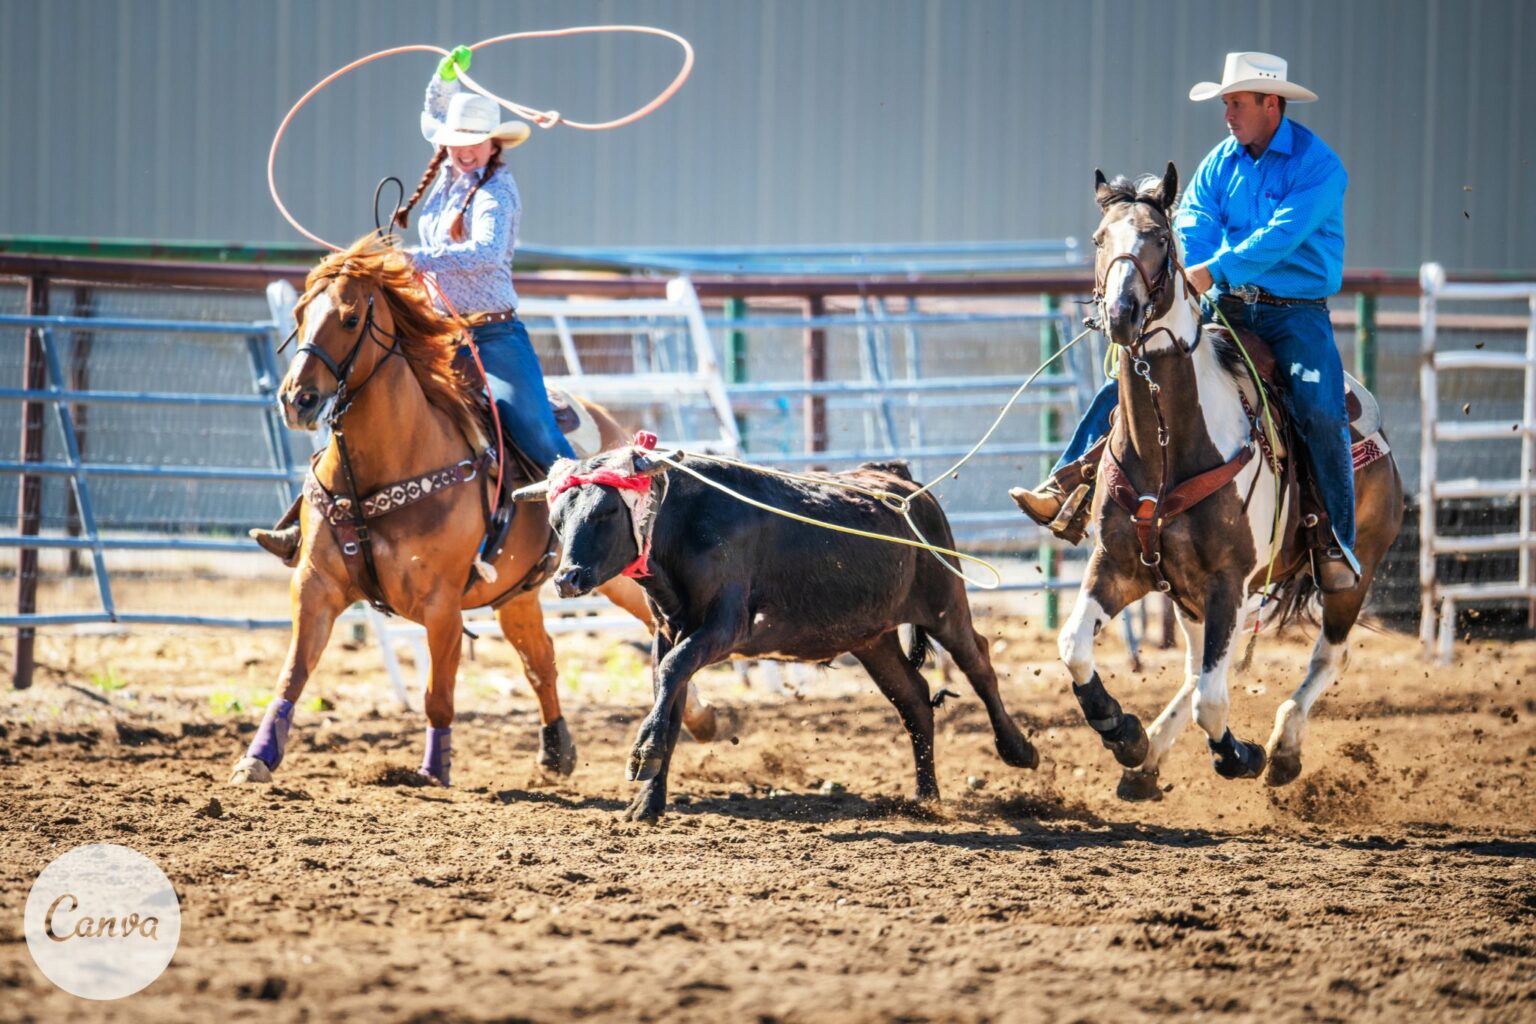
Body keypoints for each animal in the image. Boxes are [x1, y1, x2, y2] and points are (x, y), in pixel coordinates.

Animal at [224, 236, 715, 792]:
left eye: (349, 319)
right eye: (300, 313)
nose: (297, 399)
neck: (384, 468)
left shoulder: (441, 606)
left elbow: (438, 694)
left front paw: (432, 770)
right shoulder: (315, 585)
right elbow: (292, 674)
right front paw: (257, 759)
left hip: (613, 576)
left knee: (647, 629)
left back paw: (702, 717)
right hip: (517, 593)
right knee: (541, 658)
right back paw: (556, 749)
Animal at [1056, 164, 1406, 798]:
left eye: (1161, 240)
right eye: (1099, 239)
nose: (1121, 314)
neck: (1167, 445)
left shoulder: (1228, 582)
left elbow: (1215, 703)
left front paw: (1240, 755)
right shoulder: (1117, 565)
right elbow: (1074, 647)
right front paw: (1122, 731)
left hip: (1352, 571)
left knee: (1328, 658)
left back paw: (1284, 749)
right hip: (1188, 598)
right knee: (1197, 671)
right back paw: (1147, 762)